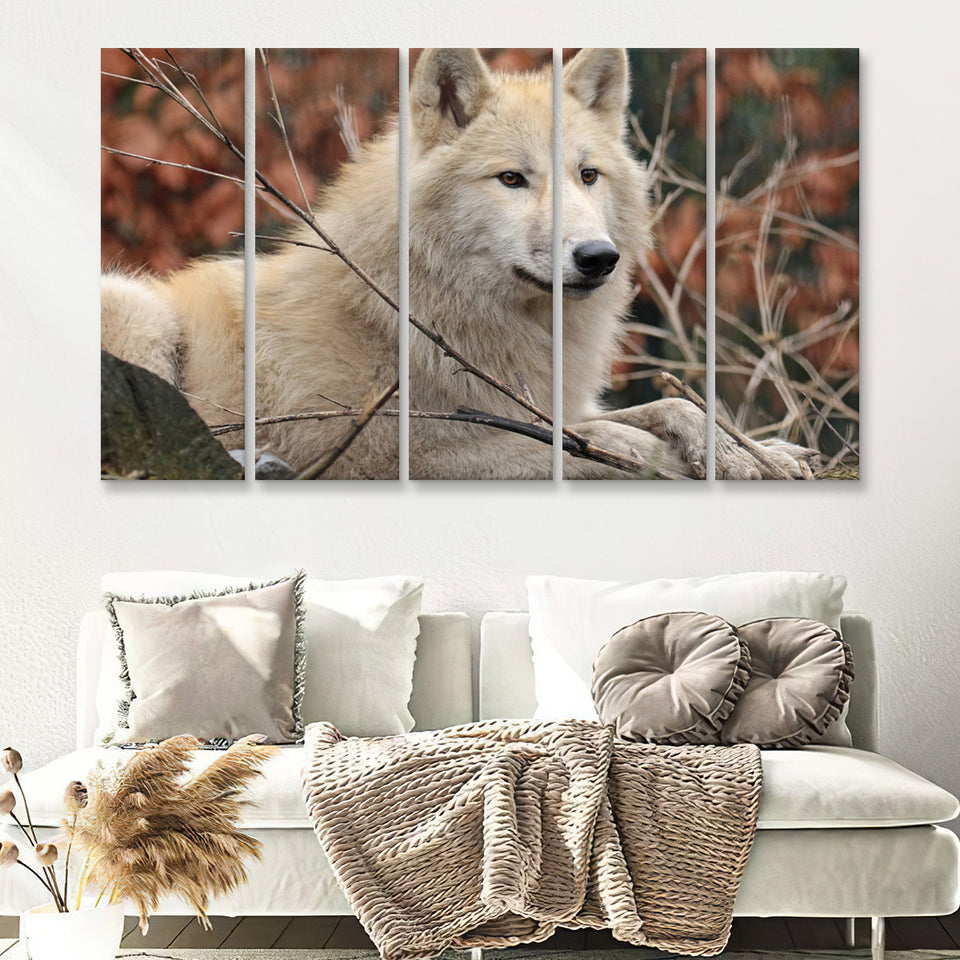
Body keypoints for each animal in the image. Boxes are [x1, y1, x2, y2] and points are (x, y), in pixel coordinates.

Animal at [102, 48, 815, 479]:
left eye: (587, 176)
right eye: (512, 179)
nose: (599, 258)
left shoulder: (540, 404)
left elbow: (665, 409)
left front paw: (758, 453)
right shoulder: (396, 449)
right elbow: (598, 444)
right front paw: (667, 456)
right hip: (139, 314)